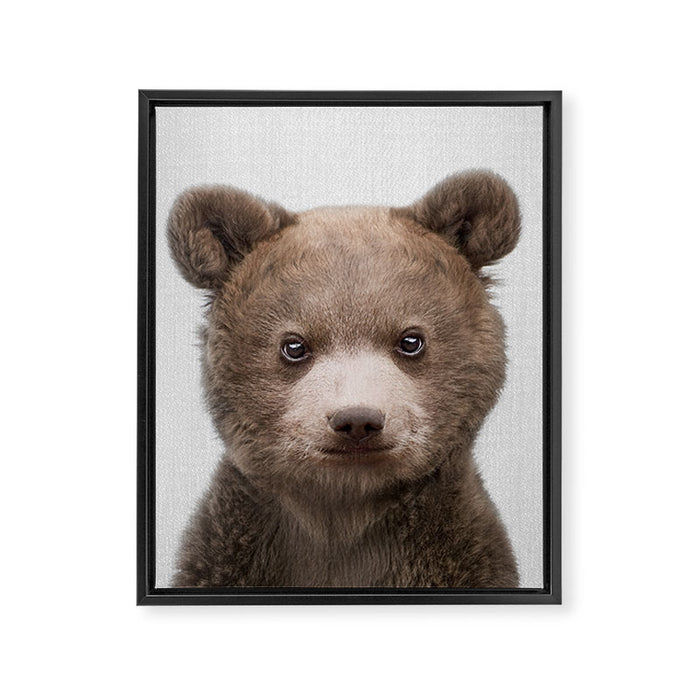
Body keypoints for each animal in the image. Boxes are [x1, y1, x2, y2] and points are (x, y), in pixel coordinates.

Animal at [167, 170, 521, 588]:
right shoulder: (230, 550)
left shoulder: (457, 552)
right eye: (294, 345)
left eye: (411, 340)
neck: (344, 515)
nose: (357, 420)